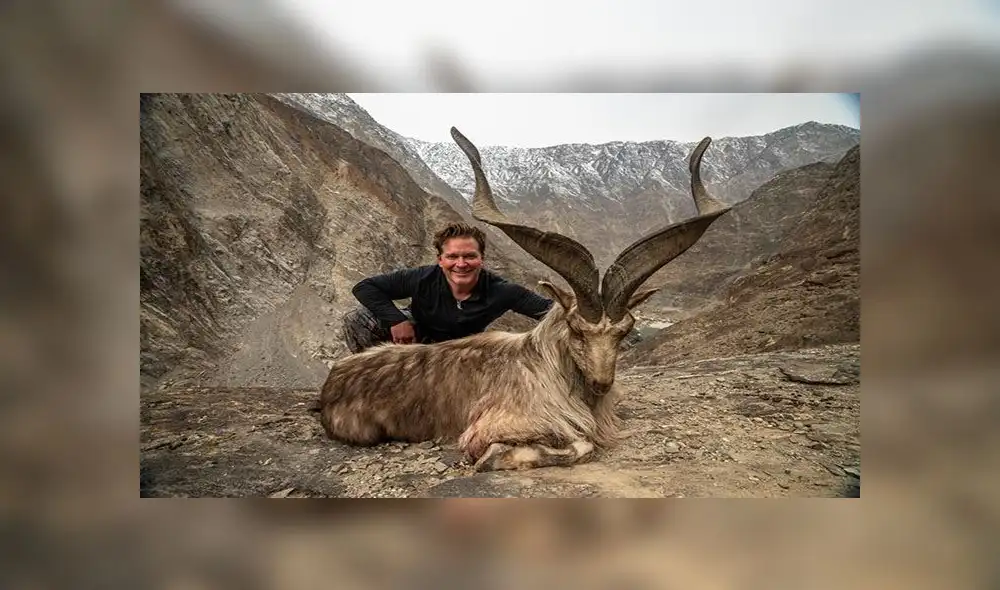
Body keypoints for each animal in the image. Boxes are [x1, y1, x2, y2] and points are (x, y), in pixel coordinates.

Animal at [318, 128, 731, 472]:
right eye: (576, 330)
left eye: (625, 331)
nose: (602, 383)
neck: (548, 368)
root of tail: (332, 381)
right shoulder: (494, 427)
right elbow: (580, 445)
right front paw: (493, 459)